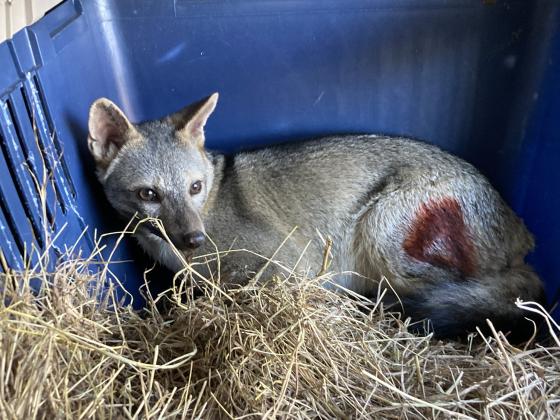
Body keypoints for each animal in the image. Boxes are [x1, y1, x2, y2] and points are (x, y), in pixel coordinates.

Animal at [87, 92, 548, 342]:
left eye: (194, 188)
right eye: (149, 194)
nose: (194, 240)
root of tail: (520, 233)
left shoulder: (292, 263)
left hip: (383, 236)